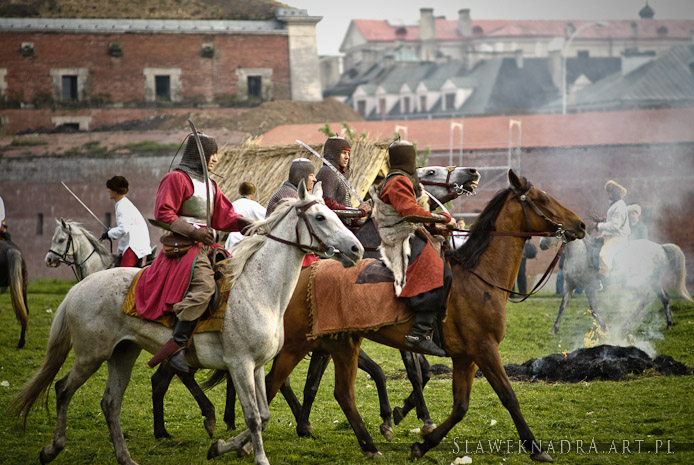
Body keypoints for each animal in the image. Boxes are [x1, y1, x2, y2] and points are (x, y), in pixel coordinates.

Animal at [13, 181, 364, 464]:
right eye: (320, 217)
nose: (356, 248)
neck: (258, 288)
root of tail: (78, 289)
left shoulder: (257, 365)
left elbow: (263, 416)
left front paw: (222, 446)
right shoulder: (239, 364)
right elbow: (252, 417)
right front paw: (256, 456)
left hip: (122, 354)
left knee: (110, 403)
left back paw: (125, 457)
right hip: (91, 355)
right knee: (62, 389)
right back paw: (52, 449)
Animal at [212, 170, 588, 460]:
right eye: (542, 199)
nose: (581, 225)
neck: (478, 277)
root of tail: (304, 273)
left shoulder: (465, 357)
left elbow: (460, 406)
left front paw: (424, 443)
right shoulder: (484, 350)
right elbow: (508, 396)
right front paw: (536, 448)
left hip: (340, 344)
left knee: (334, 393)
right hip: (299, 346)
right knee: (274, 387)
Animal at [540, 236, 692, 334]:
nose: (542, 244)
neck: (579, 254)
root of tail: (660, 247)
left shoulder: (589, 287)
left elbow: (593, 309)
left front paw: (604, 327)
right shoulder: (568, 286)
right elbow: (562, 307)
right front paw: (554, 329)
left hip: (640, 283)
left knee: (644, 300)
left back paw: (625, 325)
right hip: (654, 282)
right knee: (664, 298)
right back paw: (669, 324)